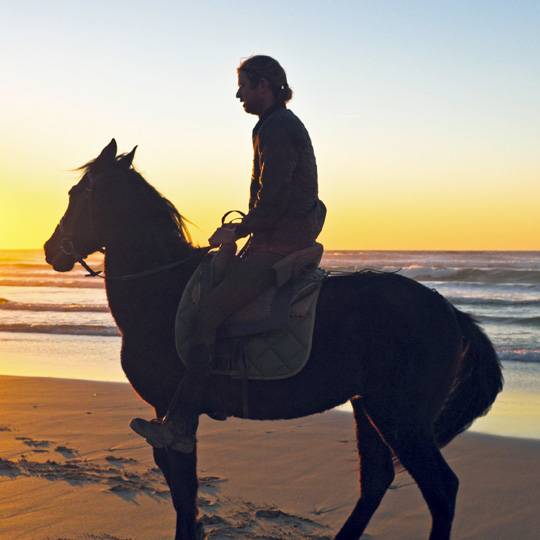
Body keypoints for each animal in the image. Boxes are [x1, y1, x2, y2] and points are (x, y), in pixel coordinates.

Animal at [44, 140, 504, 540]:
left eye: (76, 194)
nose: (50, 251)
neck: (162, 288)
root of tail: (451, 312)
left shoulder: (170, 413)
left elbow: (183, 489)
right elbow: (182, 489)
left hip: (401, 417)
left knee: (441, 489)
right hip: (370, 407)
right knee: (377, 479)